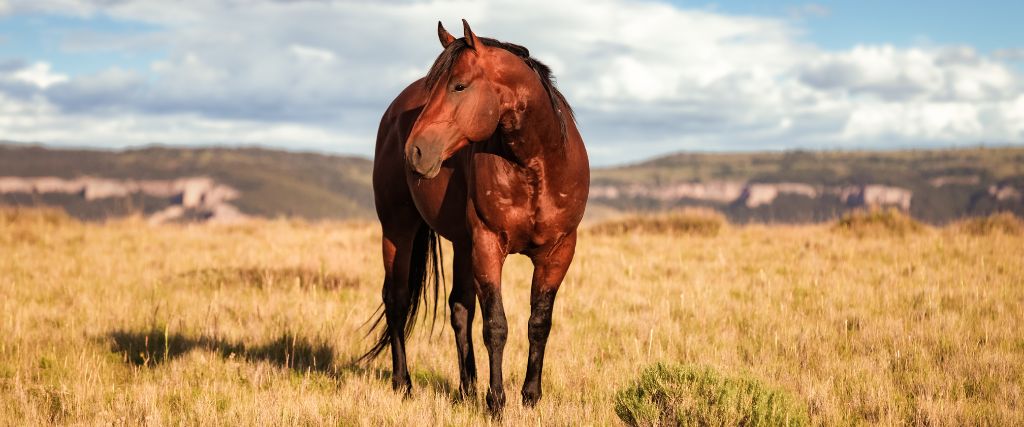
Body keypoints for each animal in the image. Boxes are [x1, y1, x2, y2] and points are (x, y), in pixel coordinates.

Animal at [362, 19, 589, 414]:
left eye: (459, 85)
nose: (415, 151)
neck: (536, 166)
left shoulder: (558, 252)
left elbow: (538, 323)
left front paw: (530, 396)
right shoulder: (488, 244)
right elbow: (496, 325)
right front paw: (496, 401)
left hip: (461, 243)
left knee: (459, 308)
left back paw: (466, 387)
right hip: (398, 228)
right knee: (397, 299)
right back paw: (403, 384)